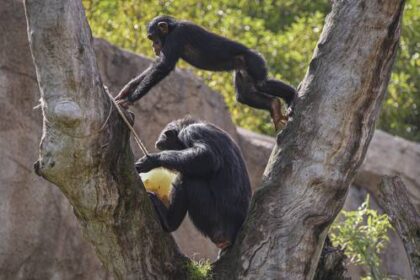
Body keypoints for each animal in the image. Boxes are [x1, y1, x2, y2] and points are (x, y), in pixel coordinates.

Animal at [115, 14, 296, 129]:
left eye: (152, 37)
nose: (153, 46)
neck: (171, 29)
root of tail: (255, 53)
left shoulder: (178, 36)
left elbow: (163, 66)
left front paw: (129, 99)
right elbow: (156, 65)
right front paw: (127, 89)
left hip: (254, 62)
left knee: (262, 83)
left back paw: (291, 96)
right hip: (242, 71)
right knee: (245, 95)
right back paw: (274, 106)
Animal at [136, 116, 251, 249]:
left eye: (164, 148)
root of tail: (232, 233)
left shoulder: (193, 132)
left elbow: (206, 155)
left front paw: (152, 160)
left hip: (214, 223)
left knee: (189, 179)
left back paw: (169, 222)